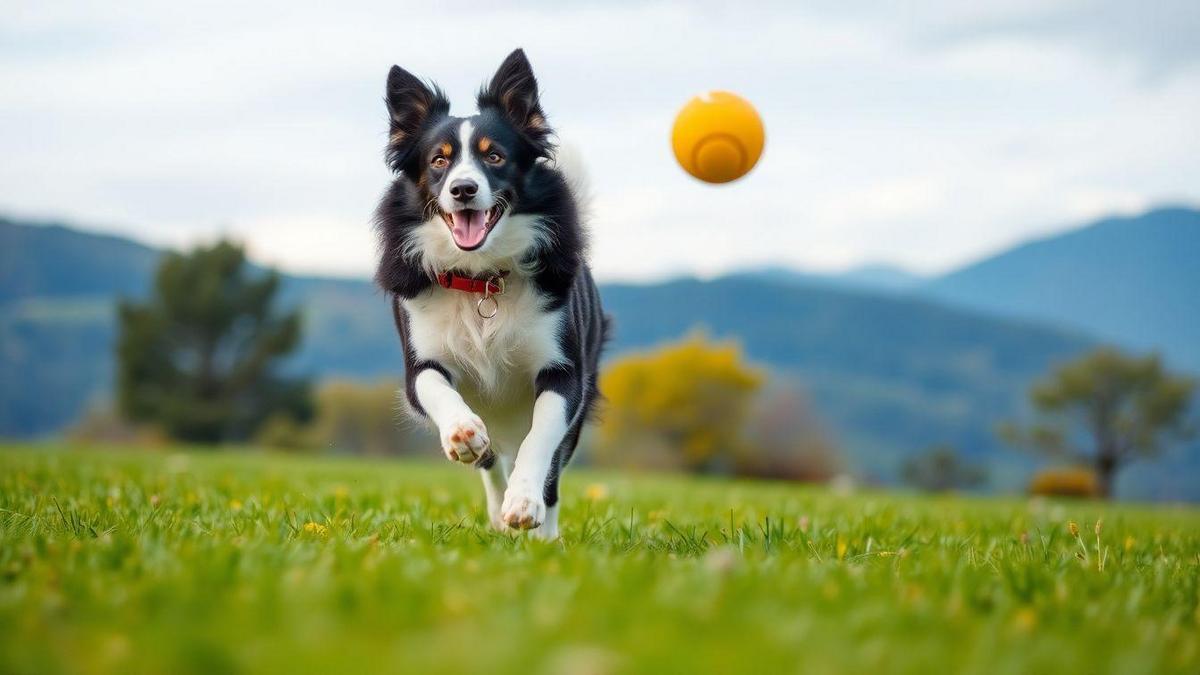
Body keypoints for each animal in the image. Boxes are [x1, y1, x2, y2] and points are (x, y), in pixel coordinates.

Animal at [376, 49, 609, 538]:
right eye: (438, 161)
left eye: (495, 156)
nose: (464, 189)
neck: (480, 277)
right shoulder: (420, 359)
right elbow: (434, 388)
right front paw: (463, 432)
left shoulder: (565, 373)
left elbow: (541, 440)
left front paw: (525, 504)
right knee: (491, 463)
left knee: (548, 465)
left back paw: (542, 530)